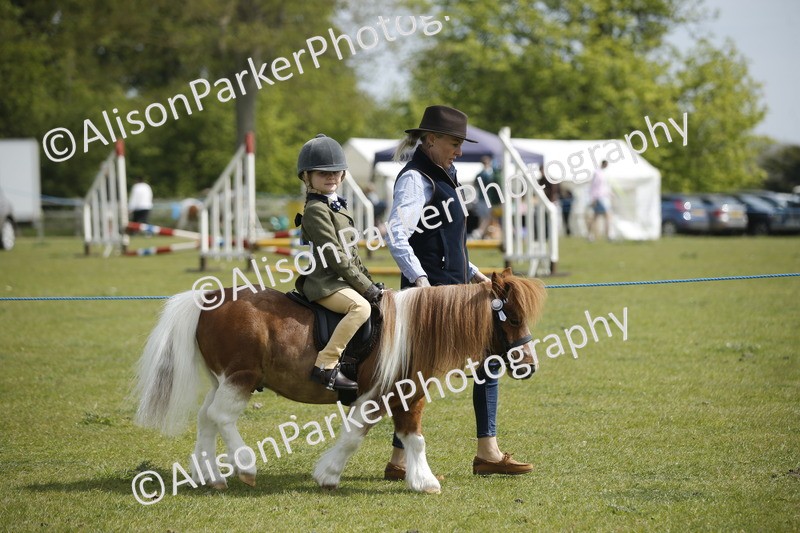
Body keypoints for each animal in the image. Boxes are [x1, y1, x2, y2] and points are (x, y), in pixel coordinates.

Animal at [133, 267, 546, 494]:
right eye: (511, 317)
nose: (529, 364)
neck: (415, 330)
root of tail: (208, 298)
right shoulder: (386, 395)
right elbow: (361, 437)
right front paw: (329, 474)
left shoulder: (401, 396)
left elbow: (409, 438)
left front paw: (418, 480)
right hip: (241, 378)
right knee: (221, 417)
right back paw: (245, 466)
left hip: (224, 379)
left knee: (206, 418)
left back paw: (211, 475)